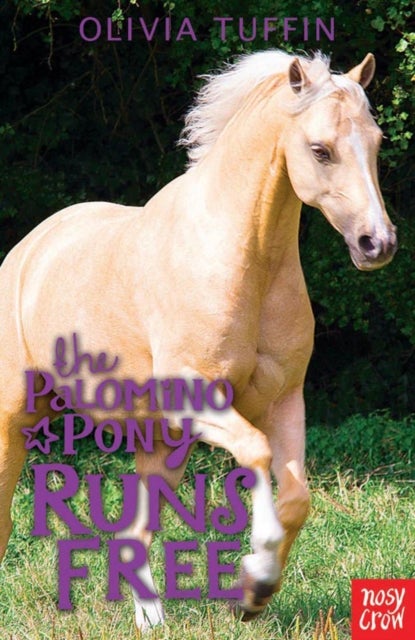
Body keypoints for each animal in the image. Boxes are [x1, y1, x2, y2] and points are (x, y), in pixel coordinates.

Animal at [0, 50, 397, 629]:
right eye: (320, 149)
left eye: (376, 143)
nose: (377, 244)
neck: (246, 261)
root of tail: (28, 250)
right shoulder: (203, 403)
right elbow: (256, 454)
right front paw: (255, 578)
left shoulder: (283, 402)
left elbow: (297, 497)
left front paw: (255, 594)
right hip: (16, 418)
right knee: (7, 514)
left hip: (161, 442)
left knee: (136, 533)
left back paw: (151, 620)